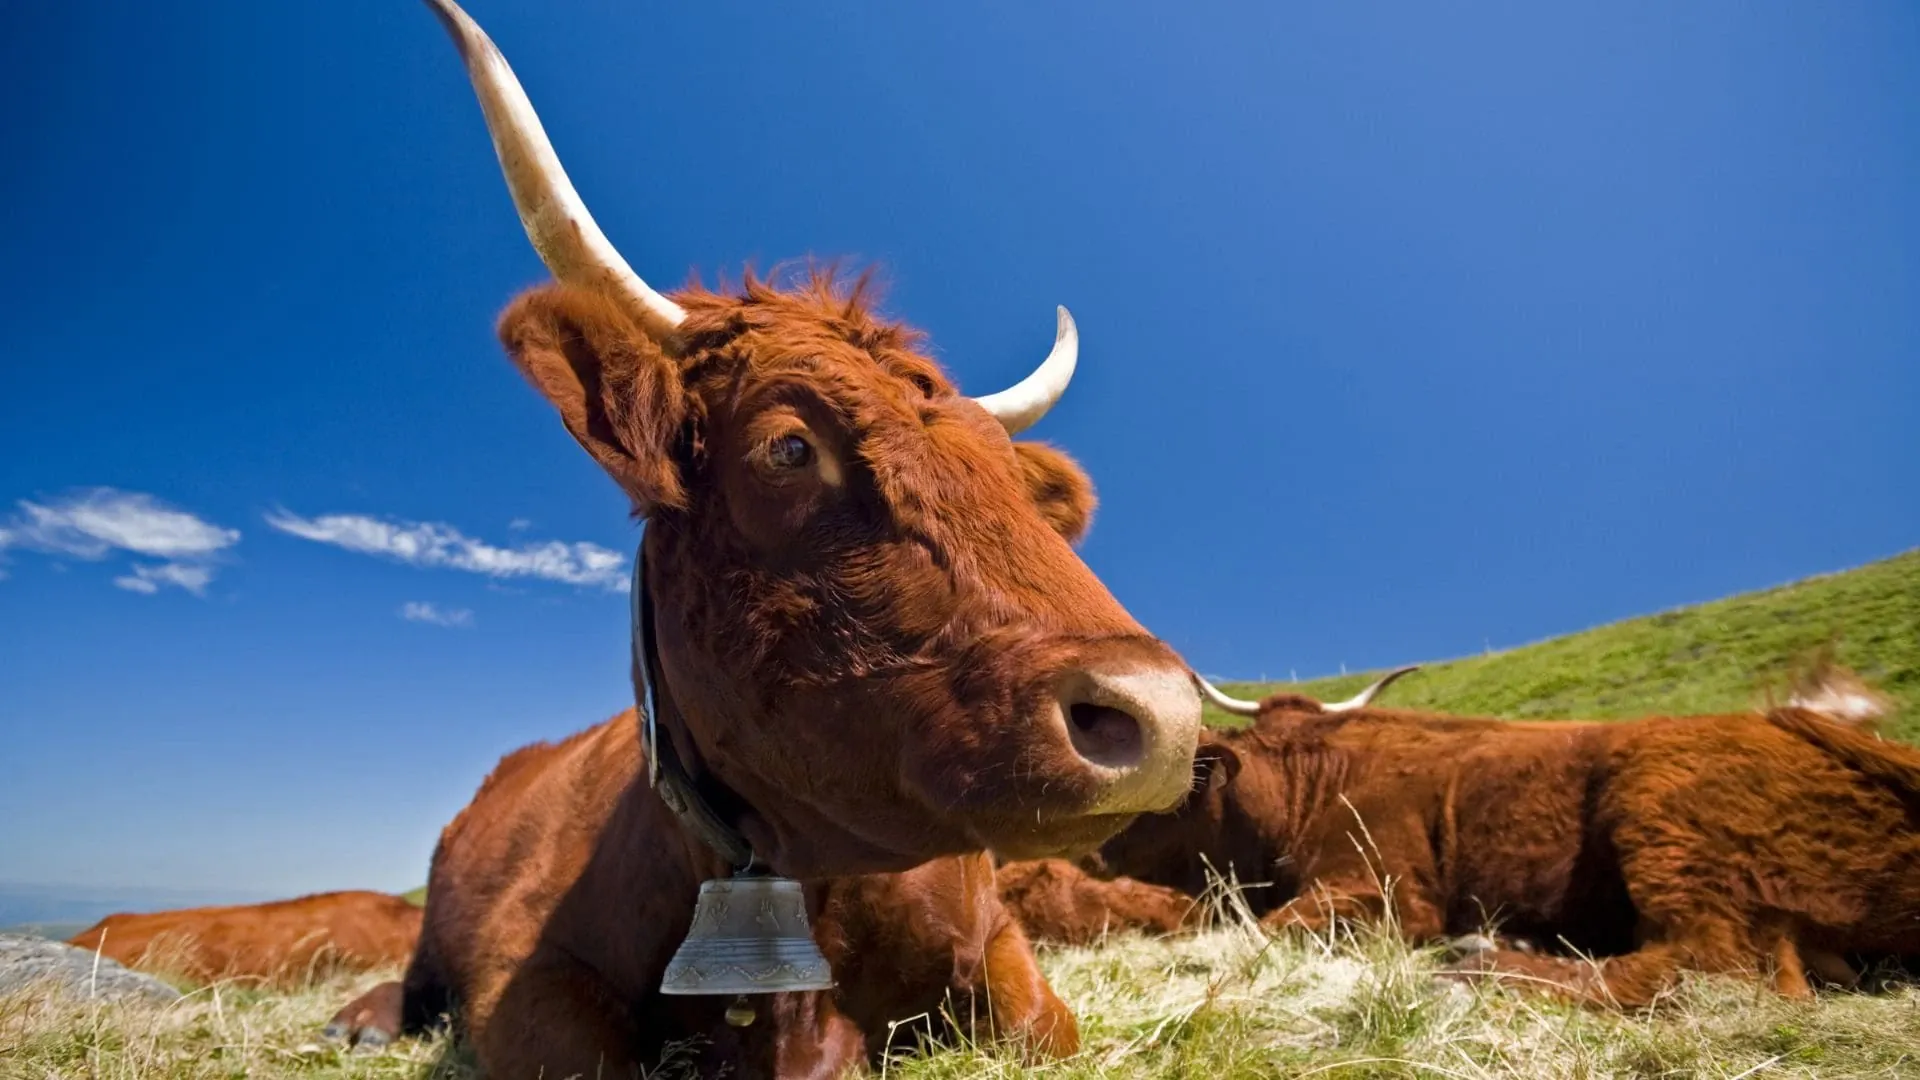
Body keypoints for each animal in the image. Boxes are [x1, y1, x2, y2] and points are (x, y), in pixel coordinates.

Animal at [323, 3, 1203, 1075]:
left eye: (1015, 483)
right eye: (788, 447)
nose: (1160, 713)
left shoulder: (999, 940)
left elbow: (1038, 1023)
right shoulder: (519, 972)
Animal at [1099, 665, 1914, 1007]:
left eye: (1175, 787)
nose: (1100, 847)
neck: (1315, 785)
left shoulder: (1384, 894)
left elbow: (1259, 931)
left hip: (1666, 827)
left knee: (1713, 966)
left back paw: (1484, 962)